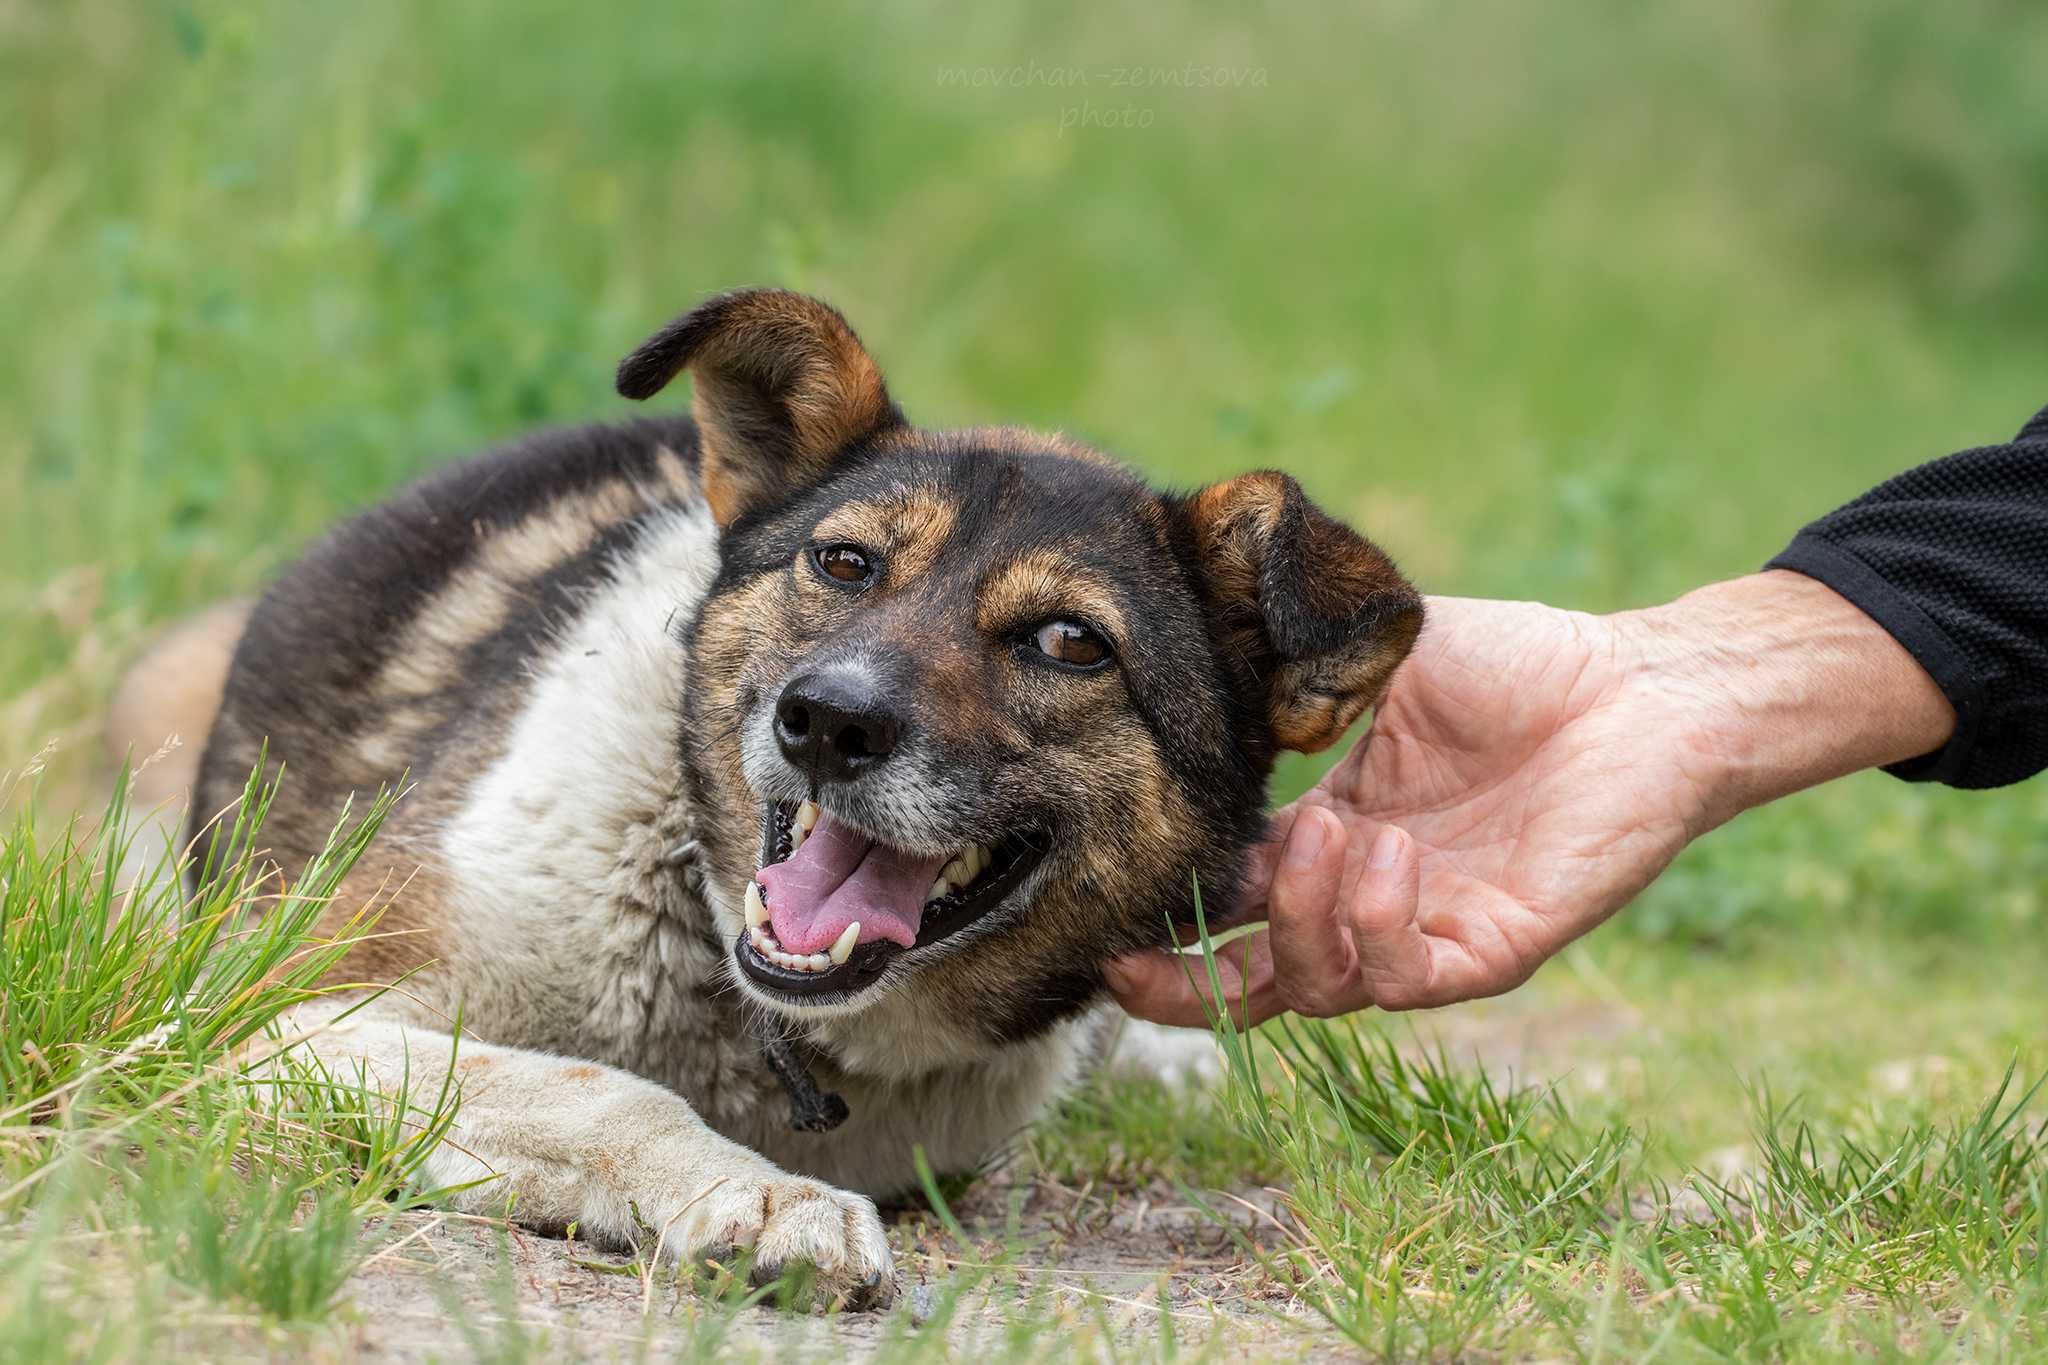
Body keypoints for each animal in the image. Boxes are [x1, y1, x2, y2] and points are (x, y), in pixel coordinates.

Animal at [112, 290, 1425, 1309]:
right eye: (842, 563)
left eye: (1069, 643)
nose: (827, 724)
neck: (739, 1006)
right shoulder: (262, 1025)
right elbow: (597, 1087)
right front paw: (755, 1192)